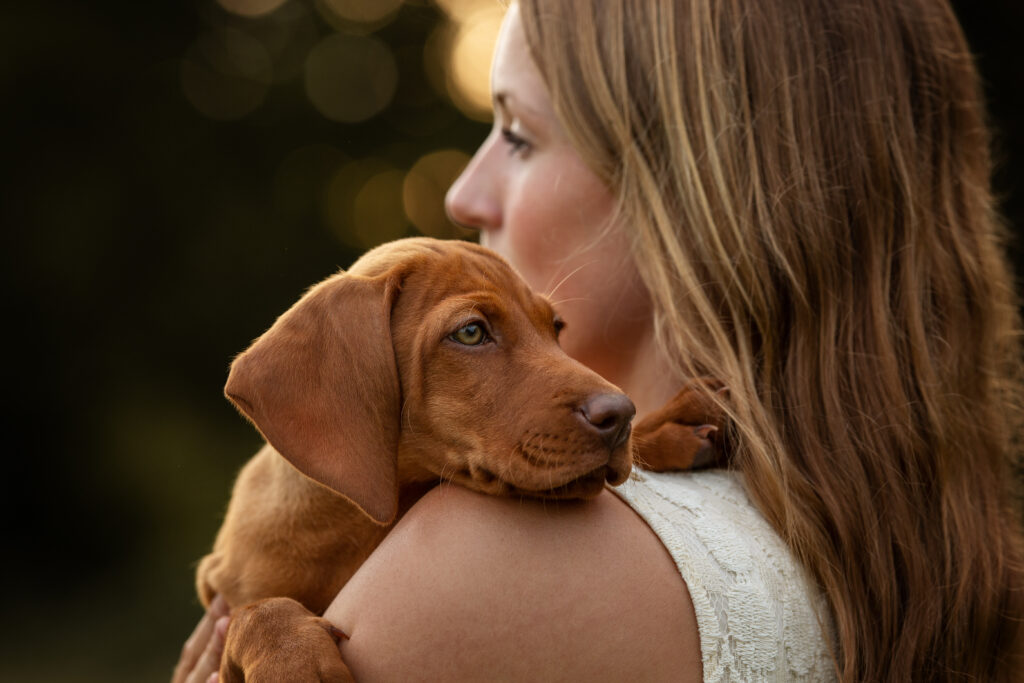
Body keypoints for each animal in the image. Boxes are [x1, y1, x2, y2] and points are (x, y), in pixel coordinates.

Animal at [199, 237, 724, 679]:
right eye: (471, 333)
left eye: (555, 329)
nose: (621, 416)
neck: (360, 523)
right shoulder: (221, 595)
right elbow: (255, 609)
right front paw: (291, 660)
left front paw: (664, 427)